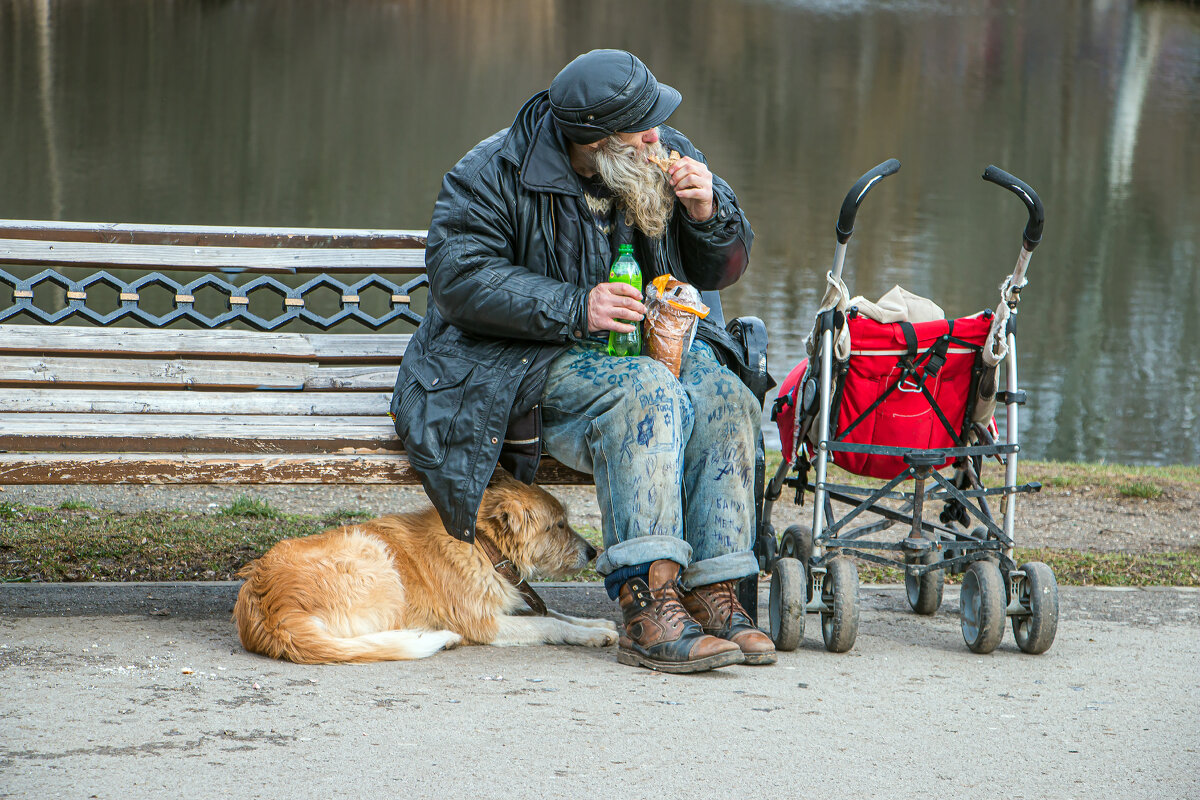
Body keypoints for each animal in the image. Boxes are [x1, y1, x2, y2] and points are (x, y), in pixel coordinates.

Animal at [231, 470, 619, 662]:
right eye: (558, 525)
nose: (593, 552)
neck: (484, 547)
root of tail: (270, 609)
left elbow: (553, 613)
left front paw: (596, 625)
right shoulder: (484, 623)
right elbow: (548, 624)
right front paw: (589, 634)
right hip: (376, 562)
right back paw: (435, 637)